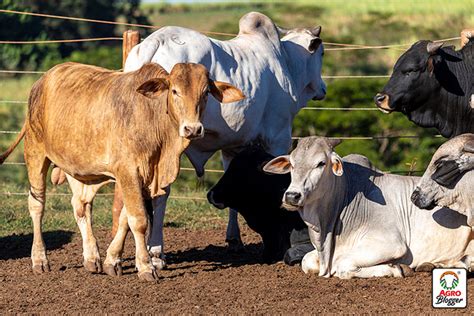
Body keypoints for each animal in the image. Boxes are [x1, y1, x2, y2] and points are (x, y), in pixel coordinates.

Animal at [0, 61, 244, 282]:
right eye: (175, 90)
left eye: (205, 93)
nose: (192, 129)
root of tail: (42, 80)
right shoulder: (128, 171)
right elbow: (138, 220)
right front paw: (146, 267)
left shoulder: (143, 177)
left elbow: (126, 219)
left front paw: (112, 260)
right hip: (35, 151)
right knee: (37, 205)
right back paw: (40, 259)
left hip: (78, 168)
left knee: (81, 206)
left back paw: (92, 258)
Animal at [124, 11, 328, 266]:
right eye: (322, 53)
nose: (323, 88)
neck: (287, 63)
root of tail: (154, 43)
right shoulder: (278, 136)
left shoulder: (233, 146)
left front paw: (234, 240)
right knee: (160, 193)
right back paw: (155, 253)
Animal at [262, 136, 474, 278]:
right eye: (292, 164)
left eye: (321, 163)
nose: (292, 195)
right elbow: (306, 261)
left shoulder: (391, 244)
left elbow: (343, 265)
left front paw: (396, 268)